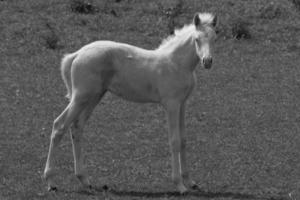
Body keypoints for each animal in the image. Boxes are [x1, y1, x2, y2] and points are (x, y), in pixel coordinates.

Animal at [43, 12, 217, 194]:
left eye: (214, 38)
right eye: (197, 39)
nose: (207, 61)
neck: (176, 63)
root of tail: (76, 54)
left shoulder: (182, 104)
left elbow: (183, 140)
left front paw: (190, 182)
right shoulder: (171, 105)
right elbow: (174, 141)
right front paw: (180, 185)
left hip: (93, 97)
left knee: (77, 128)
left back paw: (84, 180)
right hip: (81, 97)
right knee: (59, 126)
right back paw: (51, 182)